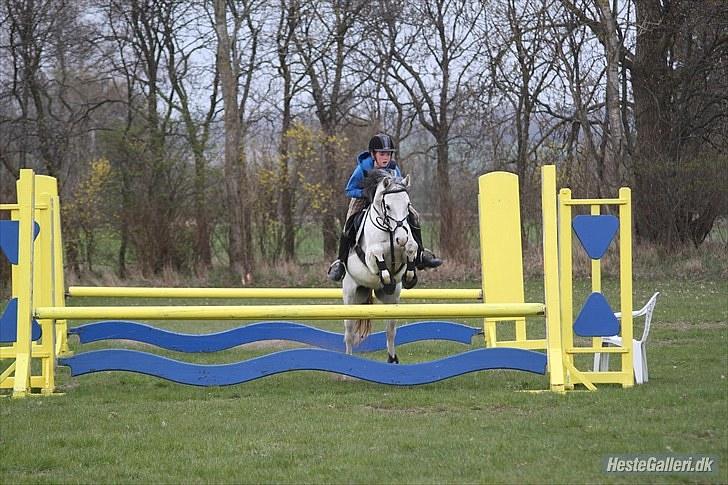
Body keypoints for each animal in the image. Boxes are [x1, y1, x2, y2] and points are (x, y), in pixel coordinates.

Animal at [341, 169, 419, 364]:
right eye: (388, 206)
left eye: (408, 205)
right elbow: (377, 254)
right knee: (349, 332)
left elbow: (412, 247)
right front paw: (385, 276)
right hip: (350, 294)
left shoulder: (406, 246)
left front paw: (409, 276)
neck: (390, 229)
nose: (400, 238)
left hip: (391, 300)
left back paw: (392, 359)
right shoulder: (370, 254)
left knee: (390, 331)